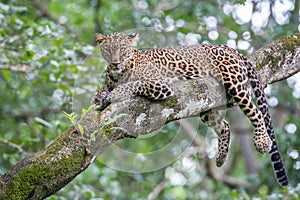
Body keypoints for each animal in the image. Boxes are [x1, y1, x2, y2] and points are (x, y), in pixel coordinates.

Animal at [93, 31, 288, 186]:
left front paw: (114, 94)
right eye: (108, 50)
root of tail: (227, 47)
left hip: (235, 84)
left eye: (122, 50)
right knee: (224, 125)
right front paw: (99, 97)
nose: (115, 63)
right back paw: (221, 158)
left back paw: (262, 141)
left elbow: (133, 84)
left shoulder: (160, 84)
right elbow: (103, 89)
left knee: (256, 112)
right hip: (203, 103)